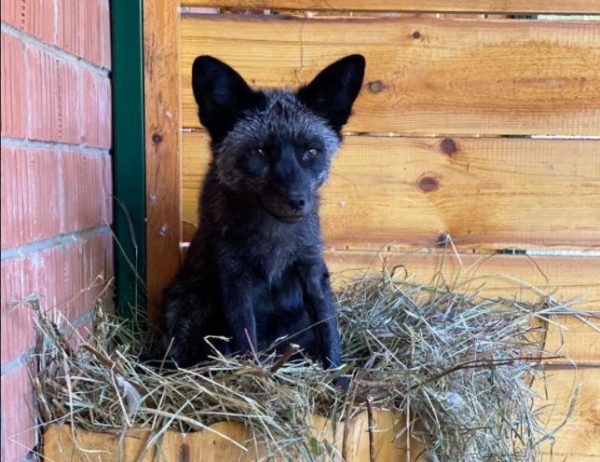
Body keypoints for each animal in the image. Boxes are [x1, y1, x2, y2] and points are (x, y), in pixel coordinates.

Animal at [159, 54, 366, 372]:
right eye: (259, 152)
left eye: (310, 151)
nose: (297, 201)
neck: (274, 239)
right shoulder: (234, 276)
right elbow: (246, 340)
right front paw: (254, 376)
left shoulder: (312, 269)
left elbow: (329, 333)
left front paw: (337, 378)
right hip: (191, 303)